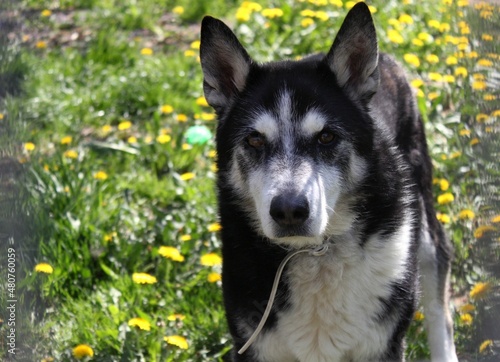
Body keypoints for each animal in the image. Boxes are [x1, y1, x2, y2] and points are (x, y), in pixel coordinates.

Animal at [200, 3, 458, 362]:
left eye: (326, 137)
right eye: (254, 140)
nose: (289, 211)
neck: (315, 252)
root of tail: (387, 60)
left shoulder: (383, 343)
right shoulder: (254, 344)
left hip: (420, 214)